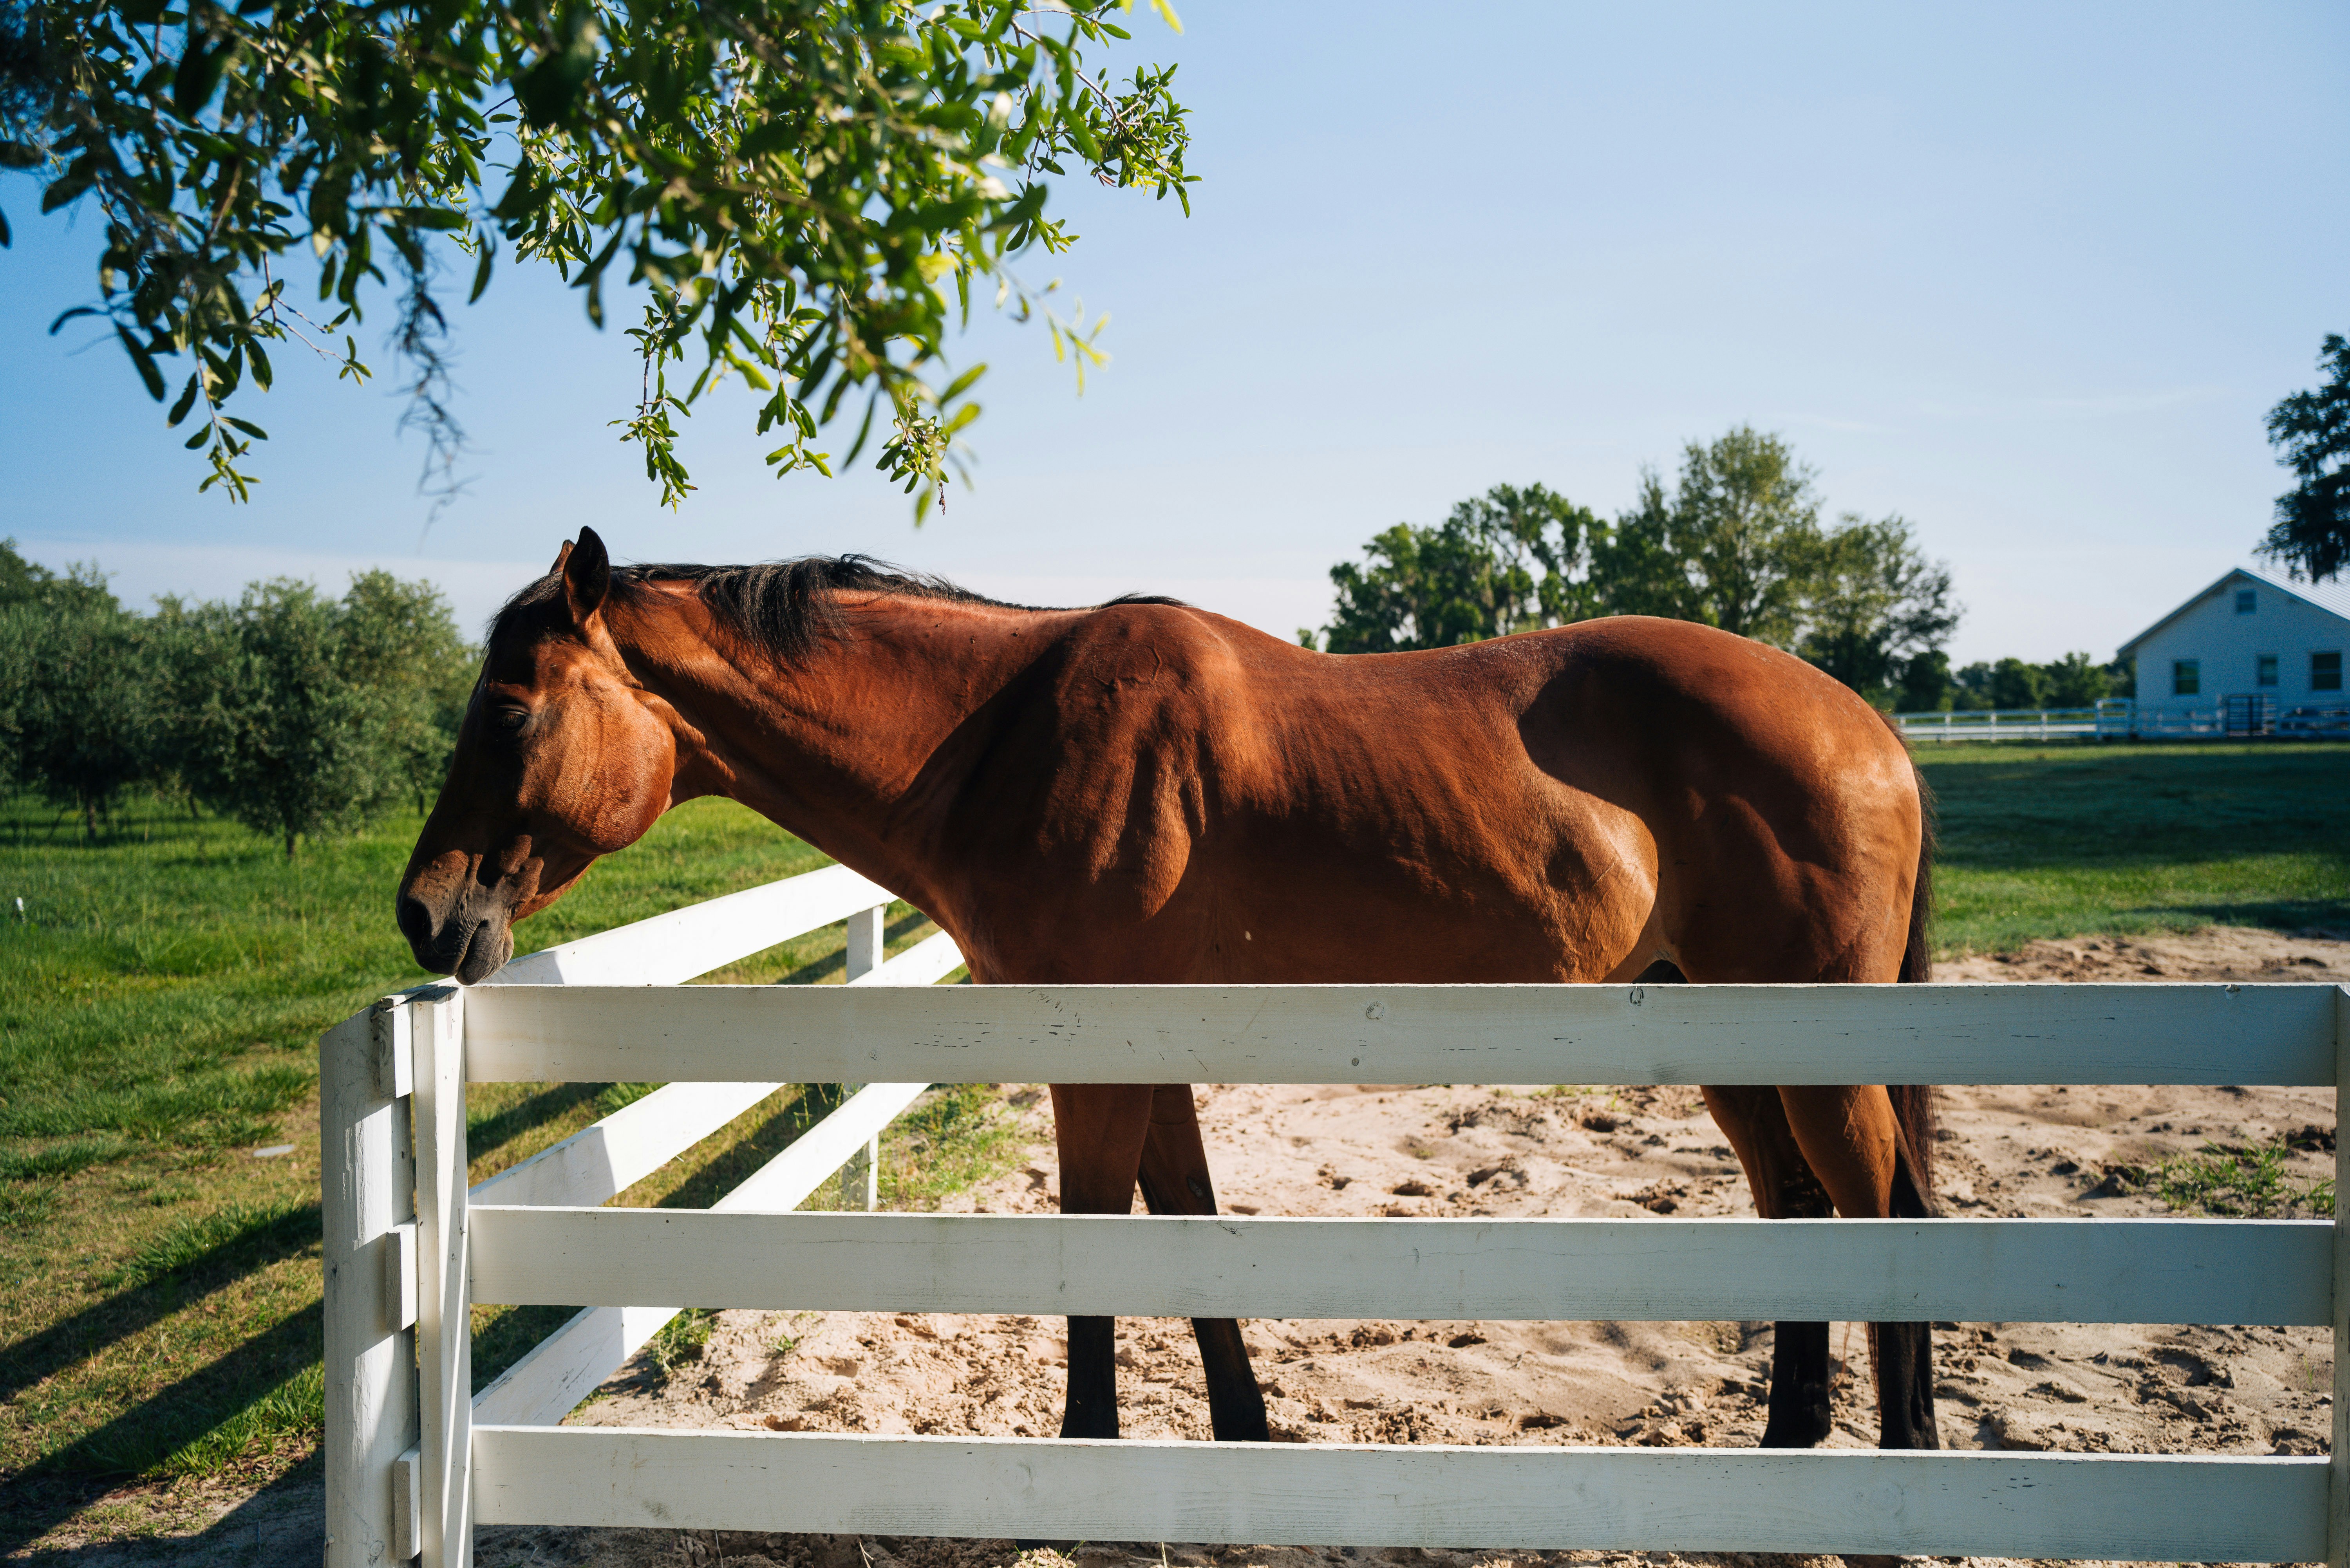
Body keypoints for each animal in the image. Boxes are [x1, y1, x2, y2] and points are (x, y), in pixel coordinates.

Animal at [397, 527, 1941, 1452]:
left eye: (512, 711)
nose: (425, 911)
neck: (1005, 735)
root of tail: (1863, 723)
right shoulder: (1151, 1038)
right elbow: (1182, 1222)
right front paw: (1244, 1439)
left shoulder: (1093, 1042)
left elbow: (1098, 1235)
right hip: (1725, 1032)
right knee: (1798, 1212)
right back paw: (1787, 1453)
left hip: (1813, 1042)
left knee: (1883, 1211)